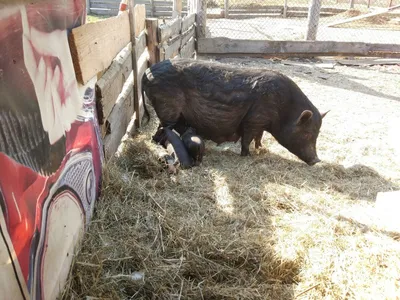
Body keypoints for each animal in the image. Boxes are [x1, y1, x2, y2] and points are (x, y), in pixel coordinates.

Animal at [141, 58, 328, 166]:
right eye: (307, 134)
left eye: (317, 134)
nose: (317, 160)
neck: (283, 110)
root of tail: (147, 72)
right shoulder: (254, 120)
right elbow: (247, 138)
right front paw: (247, 156)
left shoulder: (261, 122)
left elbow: (259, 136)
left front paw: (260, 148)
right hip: (167, 107)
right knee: (162, 128)